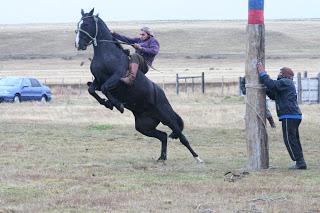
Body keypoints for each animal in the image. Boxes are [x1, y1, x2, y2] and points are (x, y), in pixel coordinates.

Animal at [75, 7, 202, 162]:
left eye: (86, 24)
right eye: (79, 24)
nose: (78, 44)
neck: (107, 54)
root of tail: (161, 94)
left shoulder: (115, 78)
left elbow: (105, 88)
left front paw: (117, 105)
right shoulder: (98, 80)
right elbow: (92, 90)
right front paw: (107, 103)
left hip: (167, 117)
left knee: (181, 137)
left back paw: (197, 158)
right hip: (144, 126)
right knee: (163, 136)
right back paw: (162, 158)